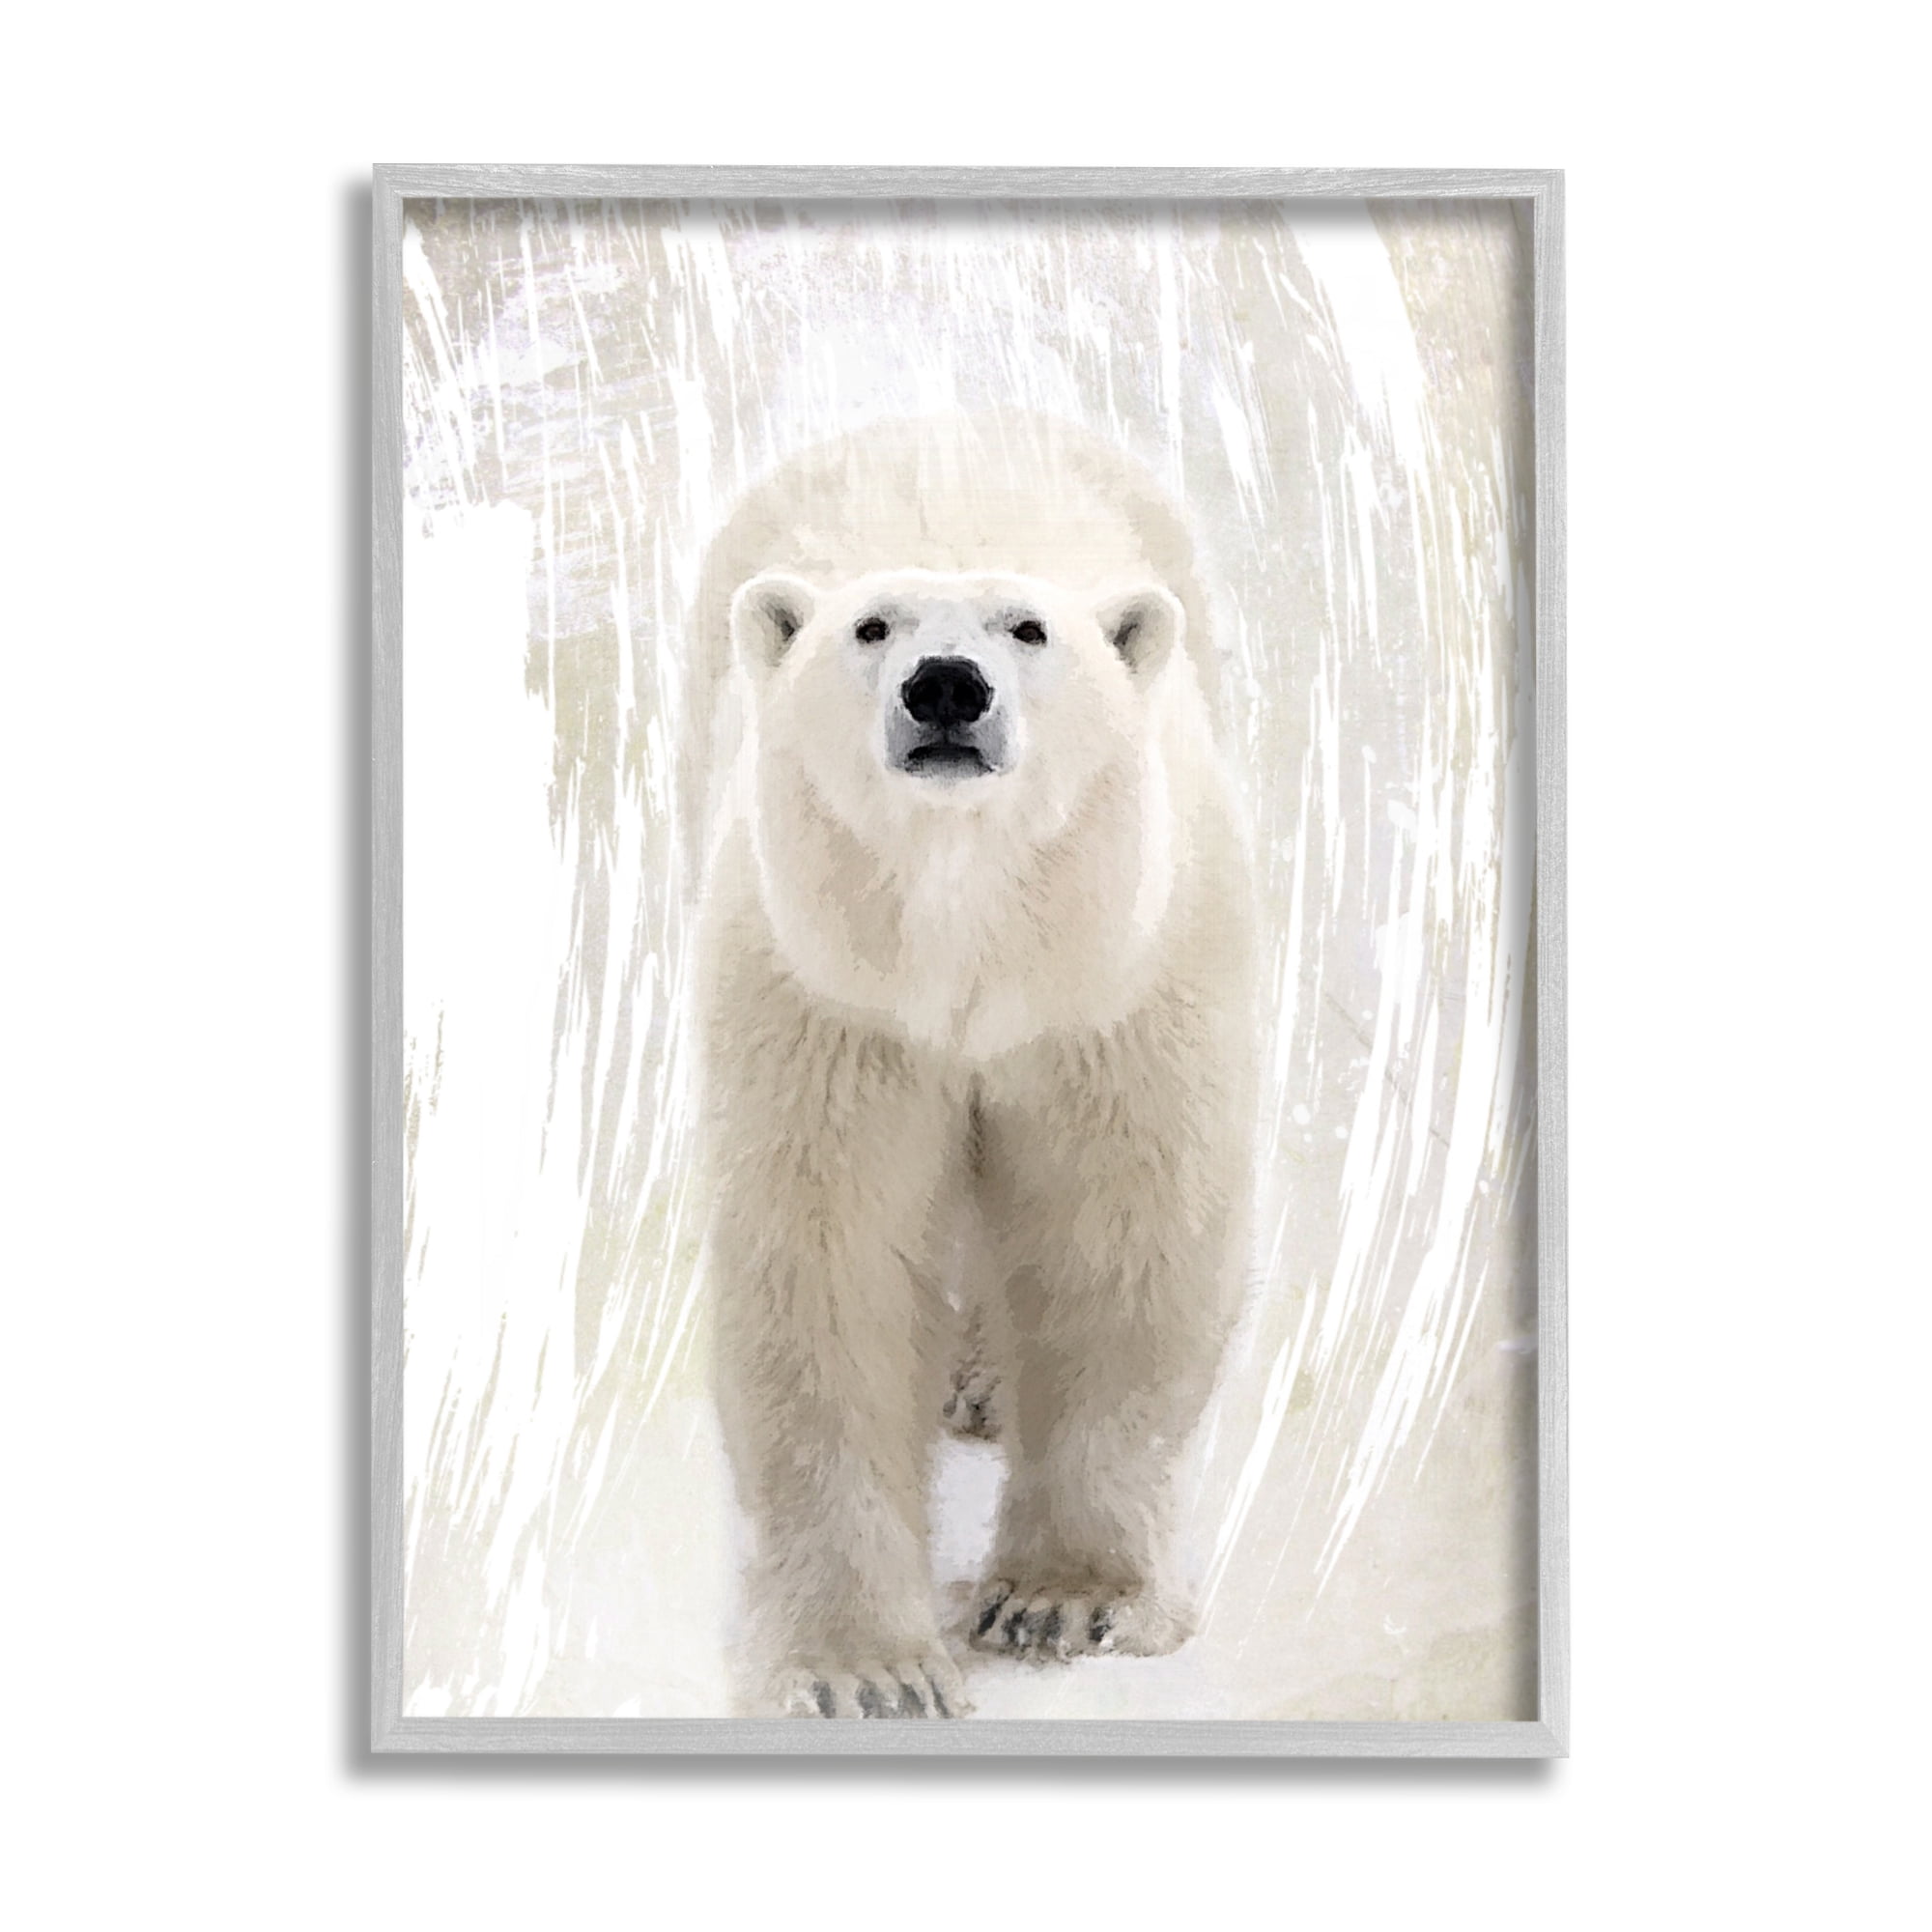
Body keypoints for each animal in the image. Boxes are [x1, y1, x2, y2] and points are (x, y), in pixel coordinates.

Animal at [687, 415, 1256, 1718]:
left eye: (1028, 628)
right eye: (870, 625)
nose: (945, 684)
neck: (971, 942)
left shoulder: (1113, 991)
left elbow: (1114, 1232)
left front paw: (1063, 1599)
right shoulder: (829, 1004)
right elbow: (830, 1262)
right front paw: (865, 1667)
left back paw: (989, 1381)